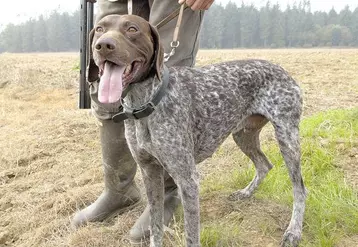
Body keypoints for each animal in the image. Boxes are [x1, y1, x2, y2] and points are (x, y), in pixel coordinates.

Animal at [89, 14, 308, 247]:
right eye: (100, 28)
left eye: (132, 29)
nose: (103, 45)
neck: (147, 102)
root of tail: (283, 70)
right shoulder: (150, 172)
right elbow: (155, 226)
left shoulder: (188, 179)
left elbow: (191, 235)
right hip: (243, 135)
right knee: (265, 165)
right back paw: (246, 193)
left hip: (287, 139)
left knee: (299, 189)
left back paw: (293, 231)